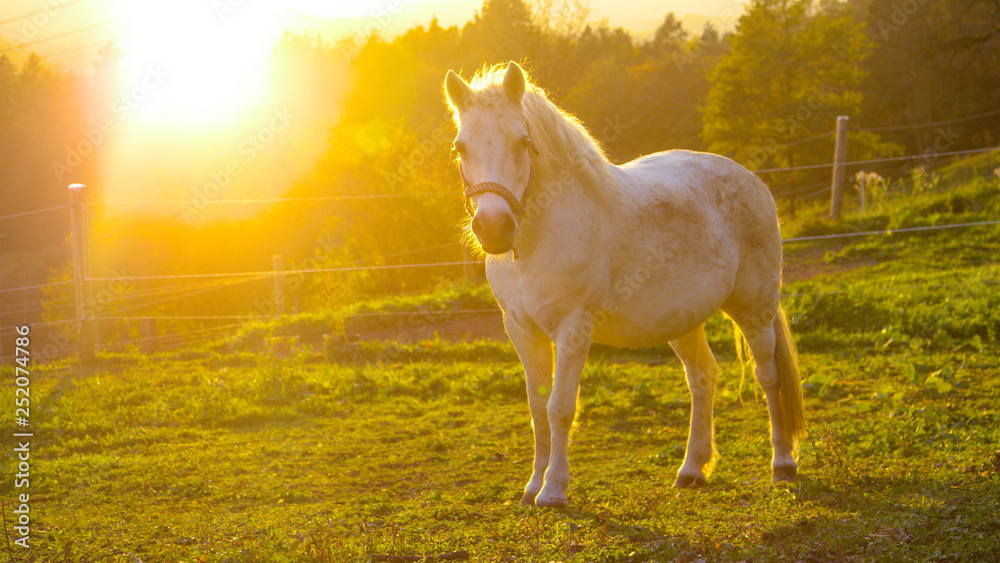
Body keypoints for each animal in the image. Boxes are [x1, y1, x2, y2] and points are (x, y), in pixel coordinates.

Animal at [446, 62, 804, 512]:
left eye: (523, 141)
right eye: (461, 147)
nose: (494, 228)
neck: (539, 237)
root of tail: (752, 180)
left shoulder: (573, 330)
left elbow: (560, 407)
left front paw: (554, 490)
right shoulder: (522, 330)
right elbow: (536, 408)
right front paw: (531, 488)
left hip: (754, 308)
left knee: (768, 376)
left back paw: (782, 464)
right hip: (684, 320)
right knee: (702, 377)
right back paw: (692, 470)